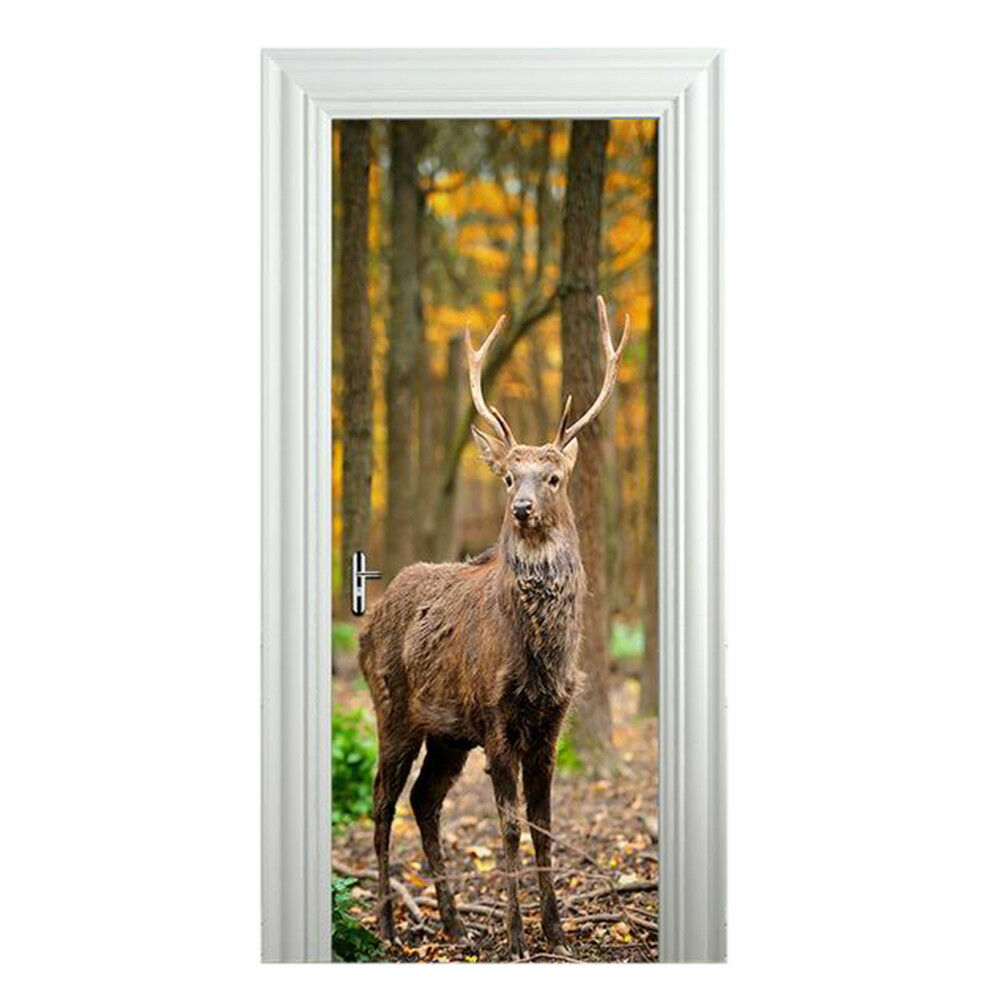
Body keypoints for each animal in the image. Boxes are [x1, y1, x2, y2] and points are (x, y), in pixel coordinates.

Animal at [358, 295, 629, 959]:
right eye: (508, 476)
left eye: (553, 477)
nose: (522, 508)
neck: (540, 656)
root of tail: (366, 624)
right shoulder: (496, 717)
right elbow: (508, 829)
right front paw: (514, 937)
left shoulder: (551, 721)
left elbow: (545, 828)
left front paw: (556, 931)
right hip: (392, 708)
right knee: (382, 803)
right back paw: (386, 925)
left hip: (447, 733)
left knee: (424, 800)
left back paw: (455, 924)